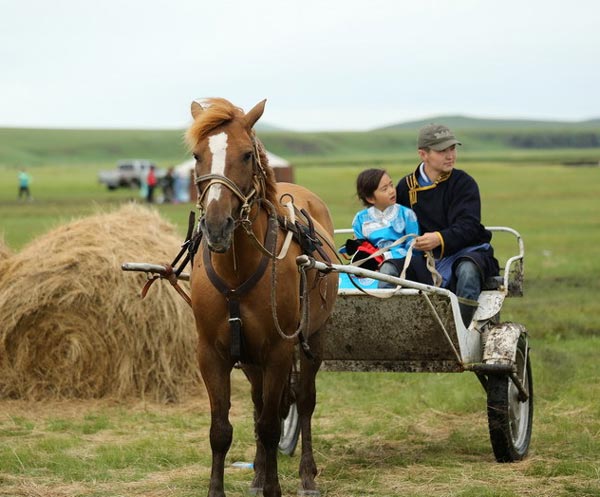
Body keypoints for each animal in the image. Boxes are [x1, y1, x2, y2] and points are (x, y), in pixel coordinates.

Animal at [188, 98, 338, 496]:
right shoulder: (211, 354)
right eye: (196, 155)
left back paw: (306, 475)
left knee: (304, 402)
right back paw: (257, 473)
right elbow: (221, 430)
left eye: (245, 155)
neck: (236, 270)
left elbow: (272, 427)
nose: (216, 225)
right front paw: (222, 488)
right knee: (257, 406)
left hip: (313, 339)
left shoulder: (278, 352)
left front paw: (274, 486)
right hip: (251, 359)